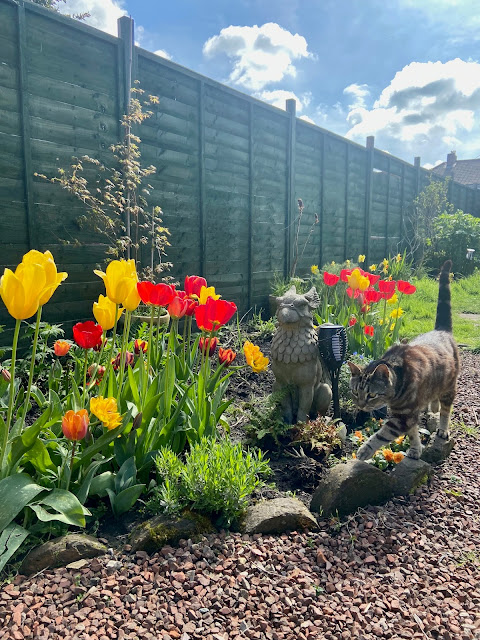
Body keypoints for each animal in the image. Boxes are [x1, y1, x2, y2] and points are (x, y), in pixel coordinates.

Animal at [348, 260, 458, 460]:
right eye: (354, 391)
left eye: (372, 395)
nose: (360, 406)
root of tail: (441, 330)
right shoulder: (407, 416)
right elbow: (413, 433)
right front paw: (415, 449)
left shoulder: (402, 417)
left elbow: (381, 435)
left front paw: (364, 450)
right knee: (435, 401)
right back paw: (433, 406)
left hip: (449, 387)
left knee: (446, 411)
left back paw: (443, 428)